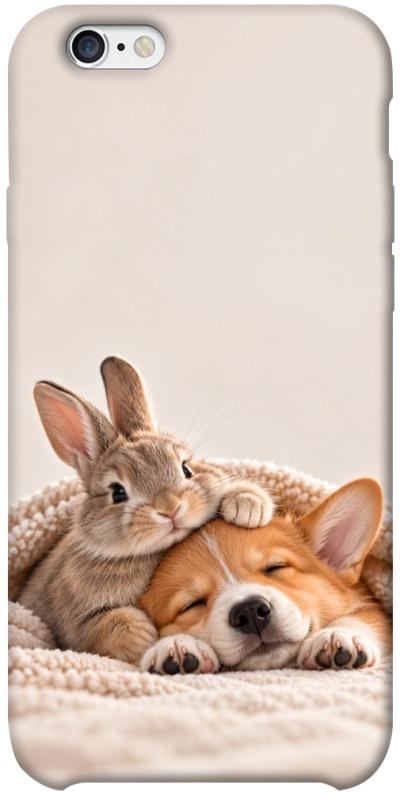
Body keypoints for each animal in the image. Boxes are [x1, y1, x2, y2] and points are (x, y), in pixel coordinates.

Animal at [18, 356, 274, 664]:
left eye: (186, 469)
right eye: (117, 492)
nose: (170, 508)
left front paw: (248, 505)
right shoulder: (75, 622)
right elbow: (107, 626)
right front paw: (145, 637)